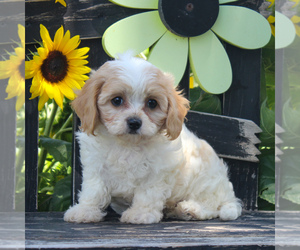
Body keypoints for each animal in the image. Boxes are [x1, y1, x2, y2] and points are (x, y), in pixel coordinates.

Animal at [63, 53, 241, 225]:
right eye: (117, 100)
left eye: (152, 103)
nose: (134, 122)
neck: (127, 145)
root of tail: (229, 195)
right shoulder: (96, 167)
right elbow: (93, 191)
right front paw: (85, 211)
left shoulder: (157, 172)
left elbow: (147, 194)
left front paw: (140, 214)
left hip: (206, 183)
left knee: (212, 206)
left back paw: (190, 209)